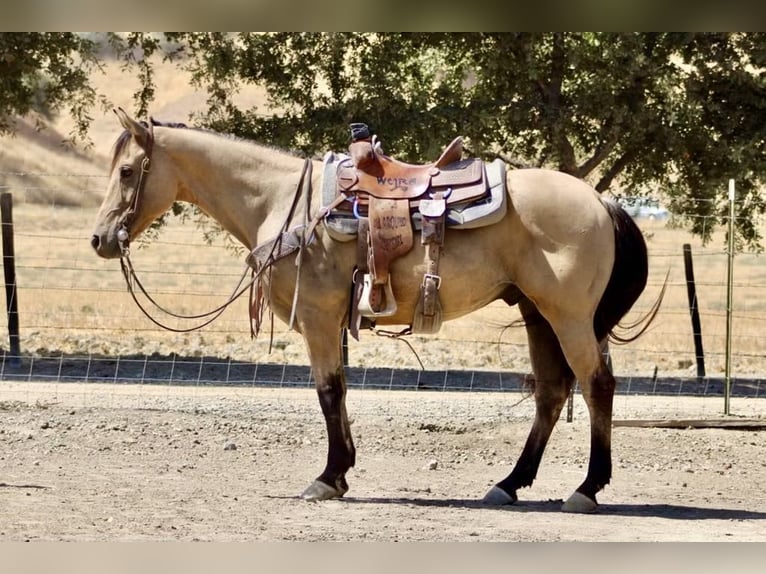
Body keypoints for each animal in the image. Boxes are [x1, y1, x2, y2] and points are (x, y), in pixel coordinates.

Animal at [91, 108, 659, 513]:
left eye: (127, 171)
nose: (99, 239)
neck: (280, 201)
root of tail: (600, 201)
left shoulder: (318, 318)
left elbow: (327, 392)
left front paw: (327, 477)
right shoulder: (330, 322)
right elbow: (338, 392)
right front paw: (341, 472)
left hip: (568, 316)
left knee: (596, 385)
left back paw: (586, 489)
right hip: (538, 314)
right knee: (551, 393)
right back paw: (508, 484)